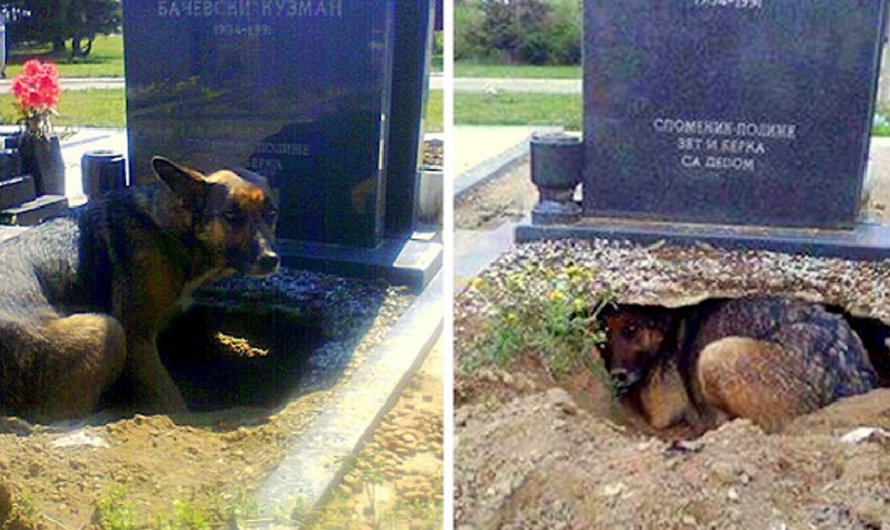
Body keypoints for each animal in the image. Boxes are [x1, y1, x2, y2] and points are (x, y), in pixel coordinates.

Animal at [0, 157, 278, 420]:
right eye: (232, 215)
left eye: (272, 213)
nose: (271, 260)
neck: (169, 230)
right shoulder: (137, 338)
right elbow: (171, 400)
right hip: (106, 329)